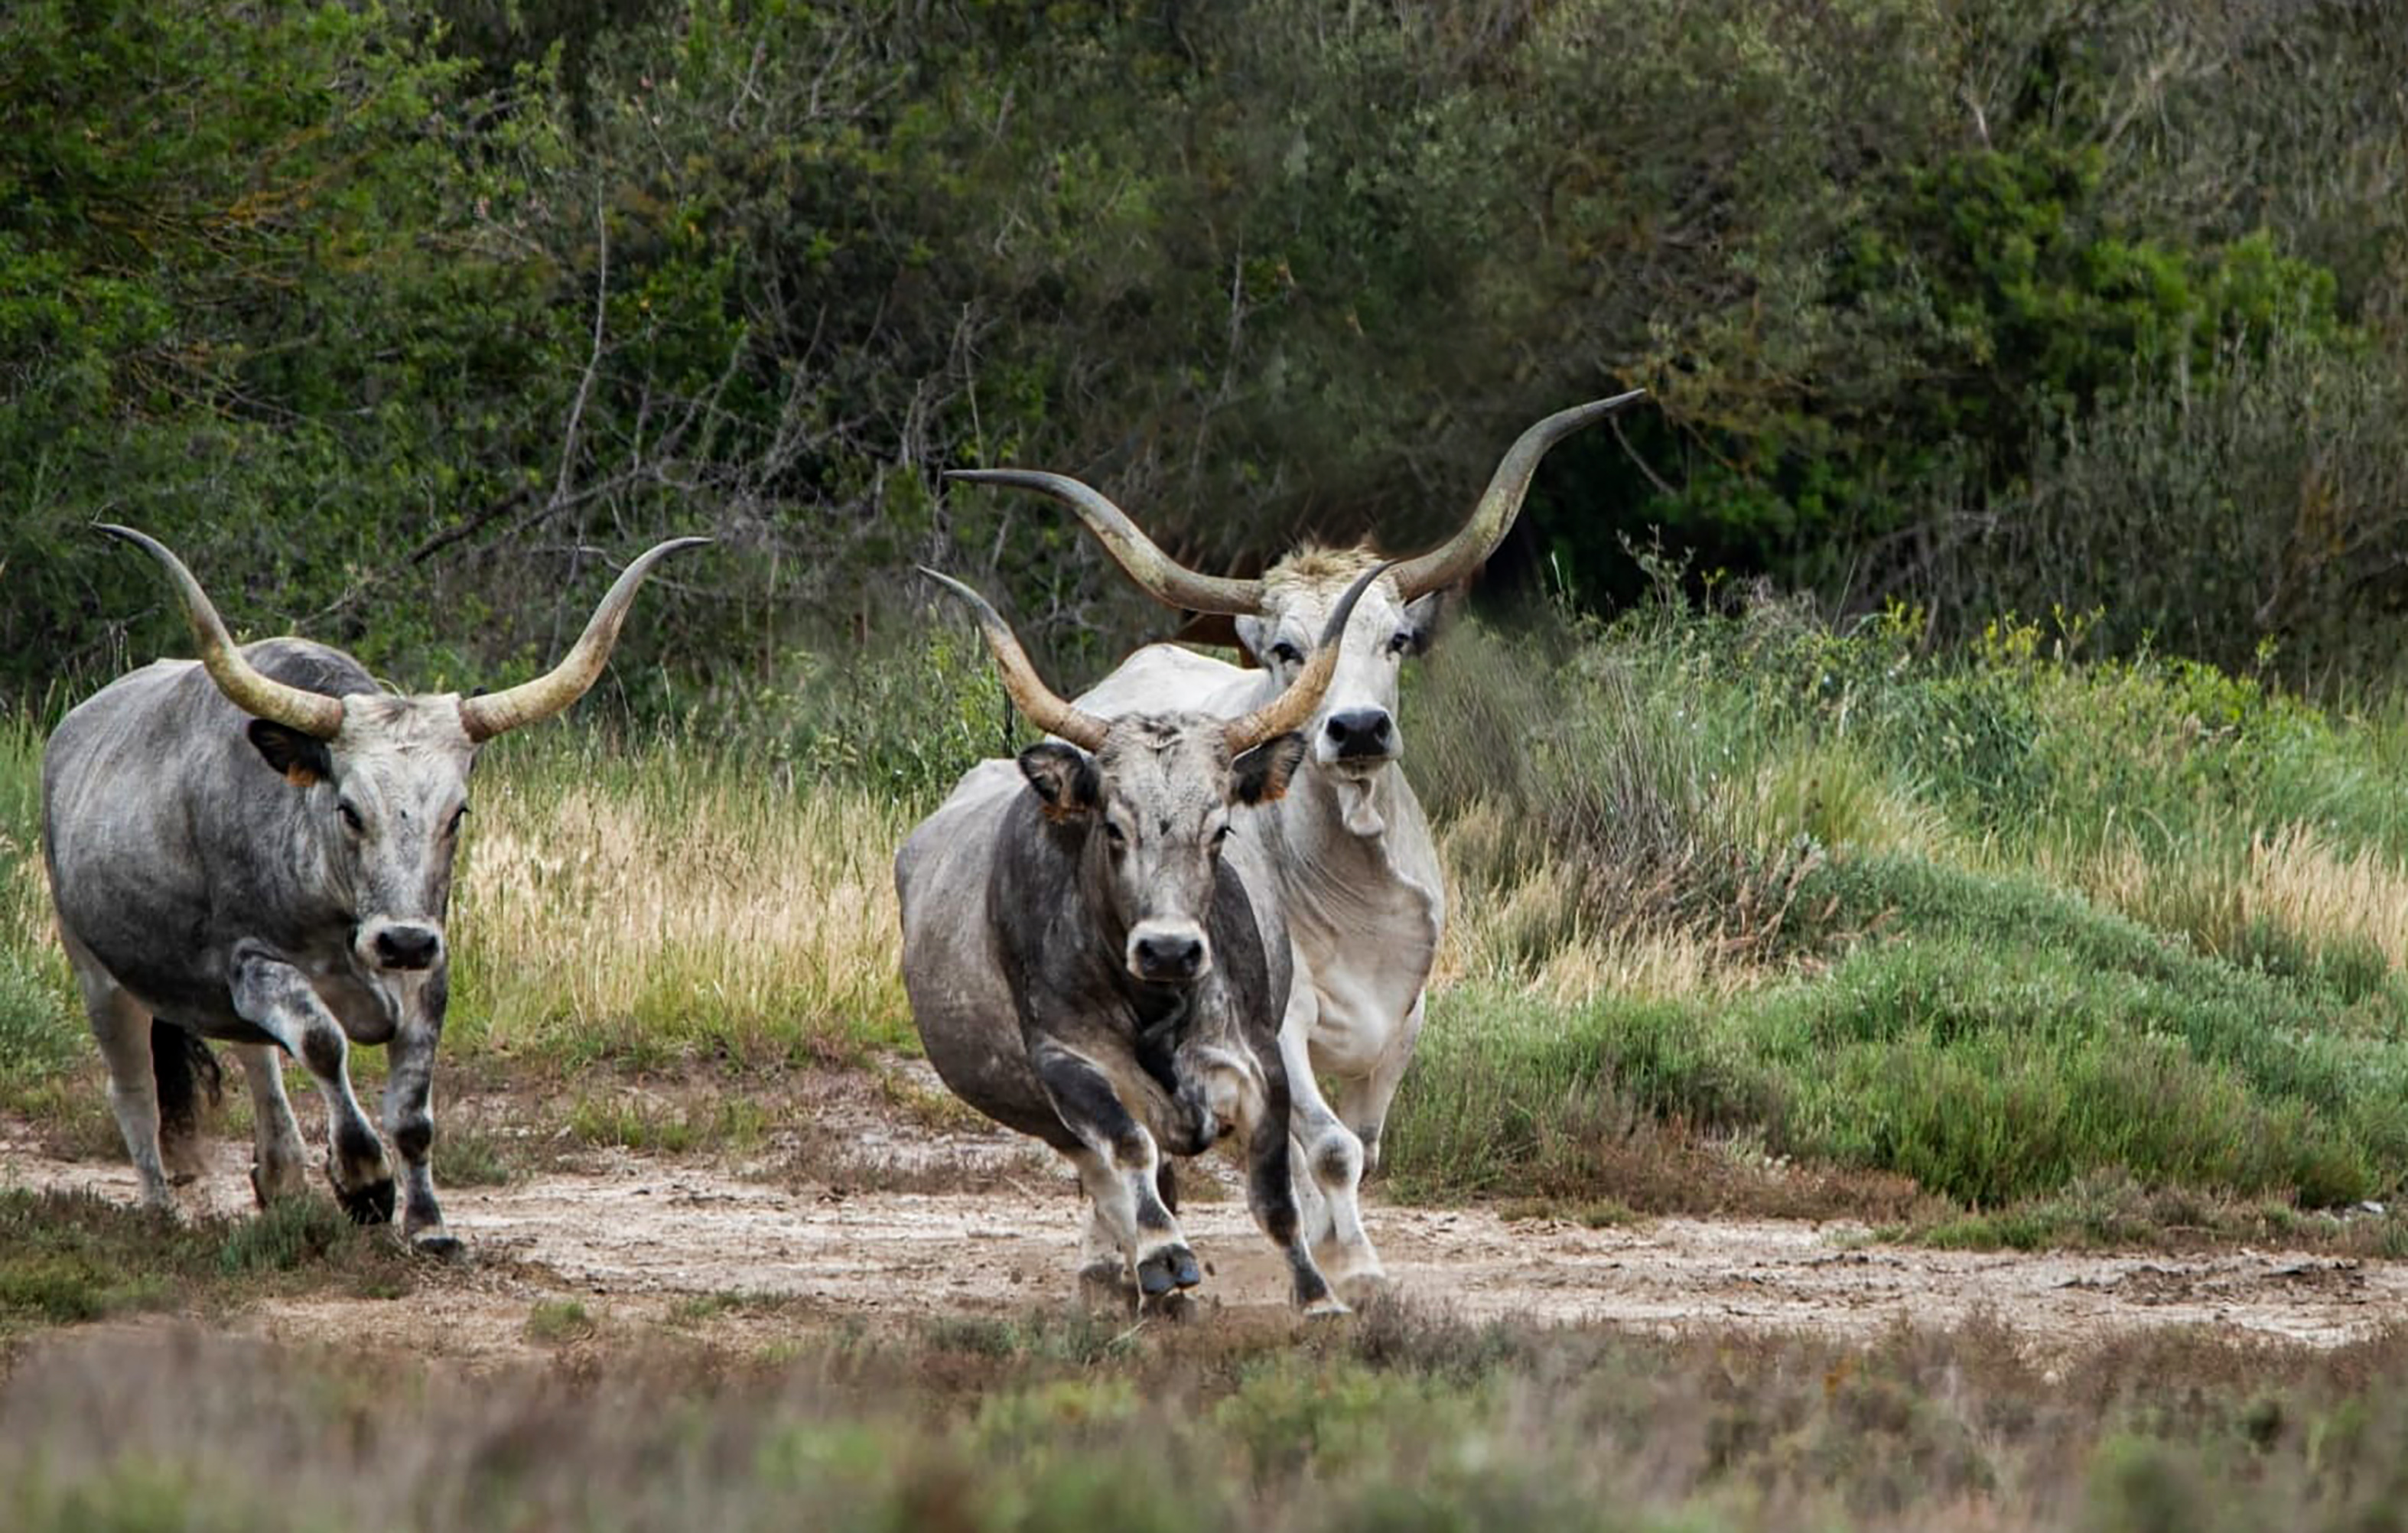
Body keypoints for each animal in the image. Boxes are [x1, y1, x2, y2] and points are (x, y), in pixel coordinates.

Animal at [44, 532, 703, 1251]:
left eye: (458, 813)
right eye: (350, 810)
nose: (403, 942)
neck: (342, 920)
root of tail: (73, 730)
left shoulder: (428, 973)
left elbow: (412, 1111)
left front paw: (428, 1225)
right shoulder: (254, 966)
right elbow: (323, 1044)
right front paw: (364, 1181)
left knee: (255, 1060)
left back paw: (281, 1175)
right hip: (97, 972)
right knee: (135, 1091)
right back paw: (163, 1209)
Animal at [896, 568, 1387, 1309]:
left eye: (1220, 828)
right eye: (1112, 827)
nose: (1169, 950)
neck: (1156, 1007)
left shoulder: (1260, 1064)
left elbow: (1275, 1197)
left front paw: (1319, 1296)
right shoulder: (1067, 1064)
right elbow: (1129, 1147)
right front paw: (1163, 1251)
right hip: (1043, 1112)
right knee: (1108, 1178)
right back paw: (1132, 1267)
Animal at [949, 387, 1647, 1299]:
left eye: (1395, 641)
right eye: (1285, 649)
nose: (1357, 729)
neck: (1355, 894)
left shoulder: (1405, 1021)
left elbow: (1361, 1146)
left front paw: (1336, 1247)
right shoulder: (1278, 1023)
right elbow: (1330, 1148)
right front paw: (1353, 1262)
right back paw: (1110, 1253)